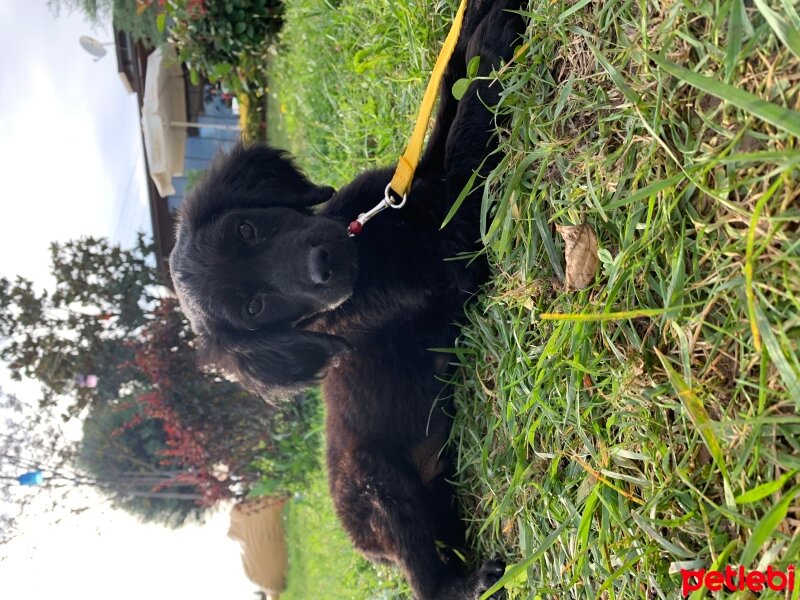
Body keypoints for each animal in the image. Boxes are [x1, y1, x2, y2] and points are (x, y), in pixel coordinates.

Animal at [170, 2, 524, 596]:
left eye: (247, 229)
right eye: (254, 312)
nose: (323, 265)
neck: (370, 247)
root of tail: (366, 546)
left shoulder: (407, 187)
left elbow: (444, 104)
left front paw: (473, 26)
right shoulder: (454, 248)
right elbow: (463, 136)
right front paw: (491, 46)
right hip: (378, 487)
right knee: (424, 575)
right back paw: (471, 582)